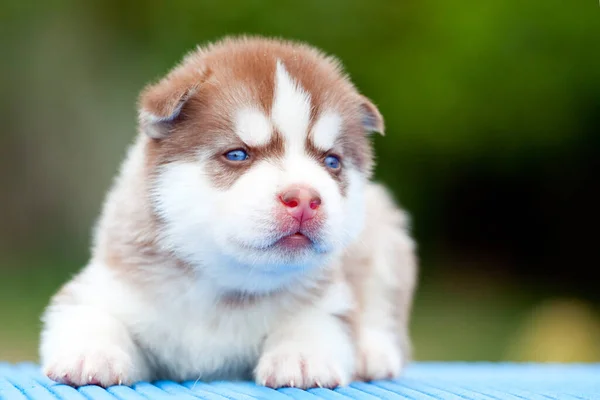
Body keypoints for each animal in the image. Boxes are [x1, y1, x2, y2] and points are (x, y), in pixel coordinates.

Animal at [38, 36, 418, 390]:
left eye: (332, 161)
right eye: (237, 154)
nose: (304, 198)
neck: (225, 287)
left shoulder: (331, 296)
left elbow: (320, 320)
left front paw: (302, 355)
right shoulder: (101, 285)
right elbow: (92, 315)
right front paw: (91, 352)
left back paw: (373, 352)